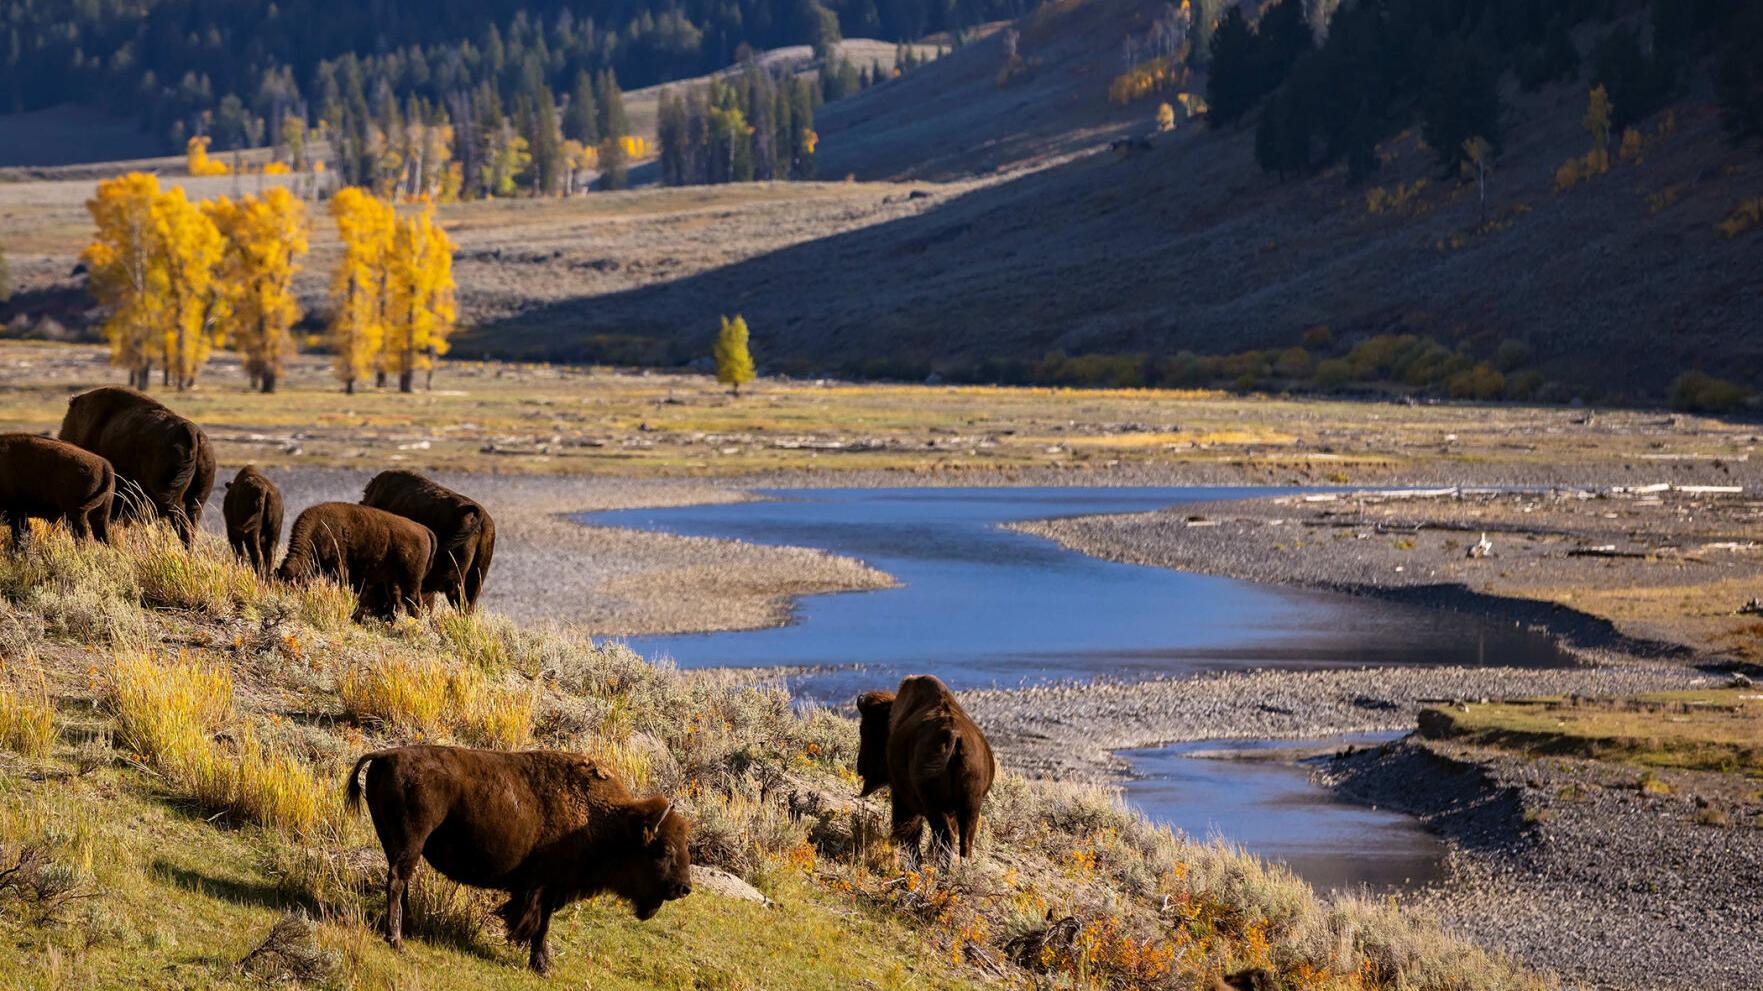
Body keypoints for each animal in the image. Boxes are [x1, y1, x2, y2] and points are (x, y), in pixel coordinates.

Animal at [275, 502, 434, 621]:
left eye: (293, 586)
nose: (285, 602)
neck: (319, 529)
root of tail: (424, 530)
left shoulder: (338, 569)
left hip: (411, 580)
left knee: (414, 601)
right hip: (393, 580)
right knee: (396, 602)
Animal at [345, 745, 692, 973]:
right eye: (664, 850)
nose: (684, 888)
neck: (604, 820)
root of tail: (385, 756)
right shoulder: (544, 889)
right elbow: (540, 926)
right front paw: (541, 966)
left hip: (393, 841)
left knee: (399, 881)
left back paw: (406, 929)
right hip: (410, 841)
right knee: (396, 881)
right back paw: (396, 940)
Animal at [855, 674, 996, 868]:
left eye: (864, 730)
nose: (860, 766)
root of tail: (954, 737)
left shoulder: (901, 796)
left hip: (934, 805)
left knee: (944, 836)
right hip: (970, 806)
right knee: (964, 843)